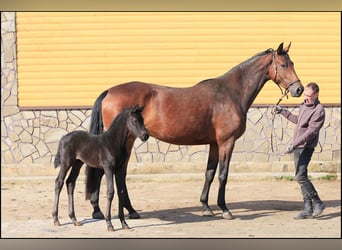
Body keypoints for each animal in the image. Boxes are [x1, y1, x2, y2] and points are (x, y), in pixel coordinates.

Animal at [84, 42, 304, 220]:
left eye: (293, 63)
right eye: (284, 65)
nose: (299, 89)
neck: (230, 93)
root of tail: (109, 92)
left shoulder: (214, 144)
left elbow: (209, 173)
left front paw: (206, 206)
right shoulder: (226, 142)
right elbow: (223, 174)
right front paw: (225, 209)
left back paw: (119, 210)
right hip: (124, 141)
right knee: (115, 173)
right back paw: (120, 211)